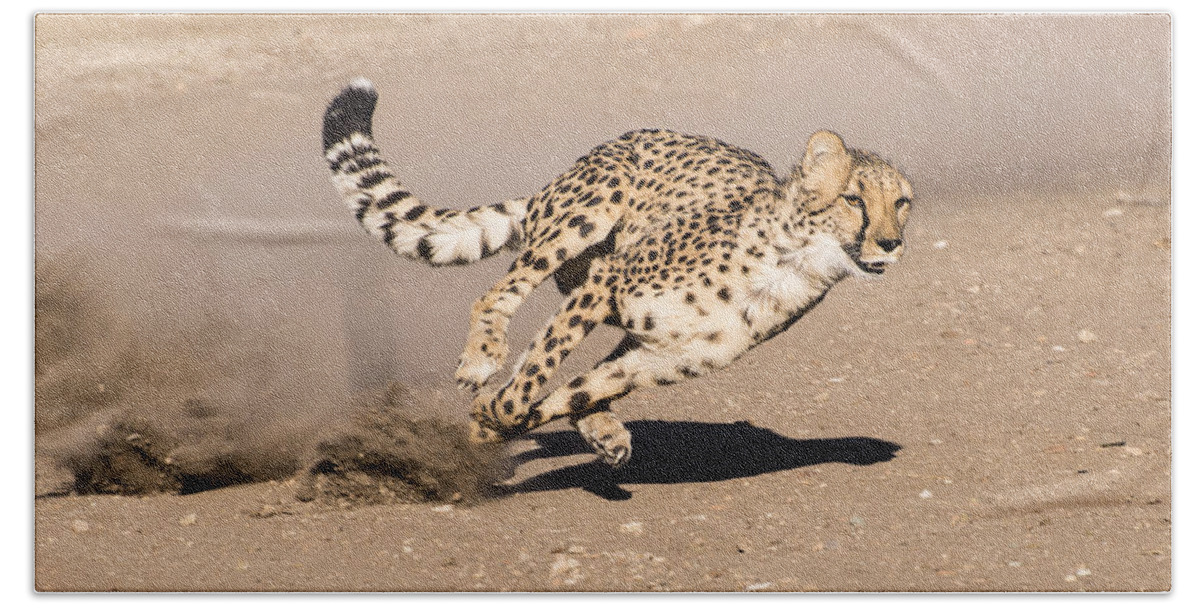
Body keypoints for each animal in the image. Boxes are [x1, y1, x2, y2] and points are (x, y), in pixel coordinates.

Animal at [319, 77, 907, 465]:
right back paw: (482, 357)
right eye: (854, 199)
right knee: (499, 296)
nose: (891, 243)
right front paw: (491, 415)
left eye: (901, 203)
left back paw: (601, 428)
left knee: (572, 374)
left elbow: (567, 391)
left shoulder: (657, 357)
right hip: (590, 213)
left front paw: (492, 424)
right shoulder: (609, 281)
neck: (791, 263)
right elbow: (534, 375)